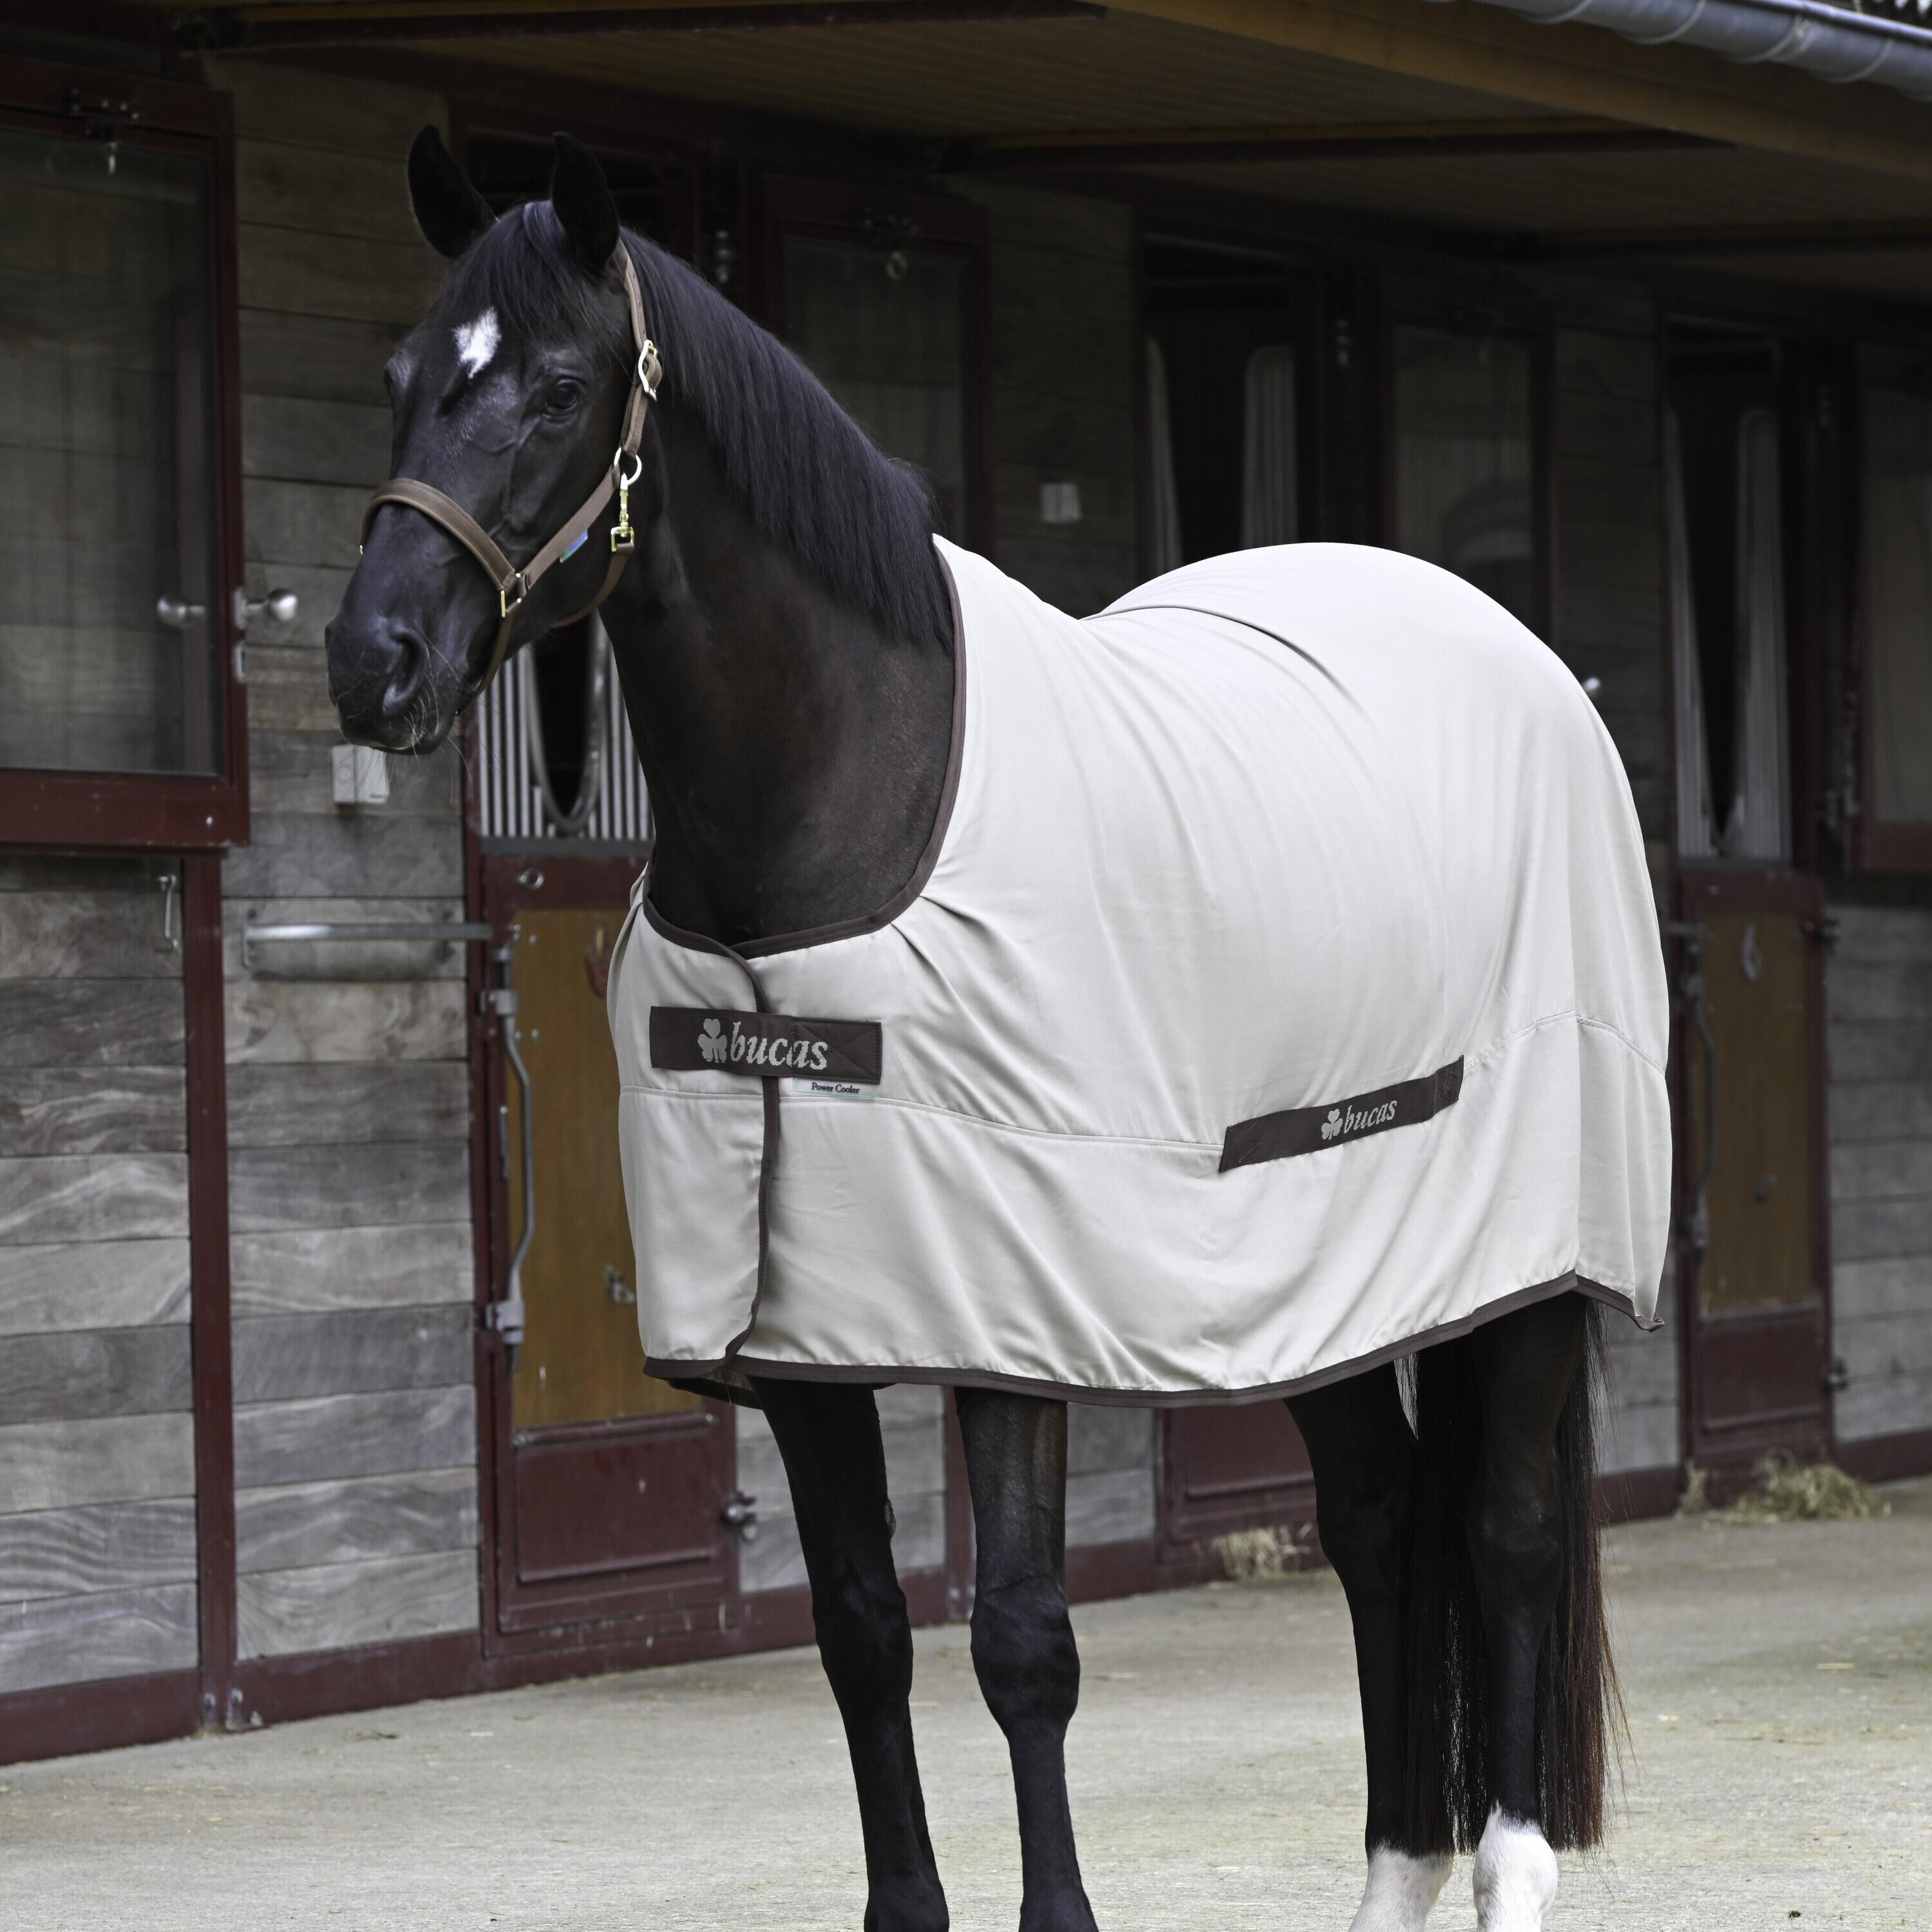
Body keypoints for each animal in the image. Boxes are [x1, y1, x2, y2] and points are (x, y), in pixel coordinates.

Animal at [327, 129, 1666, 1932]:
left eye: (550, 387)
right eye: (403, 377)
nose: (371, 661)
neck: (833, 815)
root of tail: (1524, 657)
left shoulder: (1008, 1315)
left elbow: (1025, 1642)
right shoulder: (802, 1341)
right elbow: (859, 1631)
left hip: (1525, 1260)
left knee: (1507, 1534)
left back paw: (1504, 1869)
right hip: (1318, 1267)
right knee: (1382, 1525)